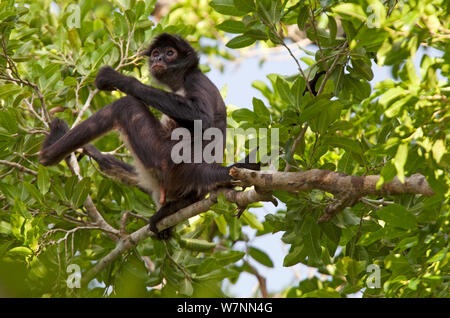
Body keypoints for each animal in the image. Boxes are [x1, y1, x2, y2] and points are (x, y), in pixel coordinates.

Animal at [39, 33, 256, 237]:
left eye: (170, 53)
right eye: (155, 53)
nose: (158, 58)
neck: (182, 80)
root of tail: (201, 169)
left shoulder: (195, 80)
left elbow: (202, 118)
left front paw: (119, 79)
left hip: (165, 160)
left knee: (125, 105)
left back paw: (48, 154)